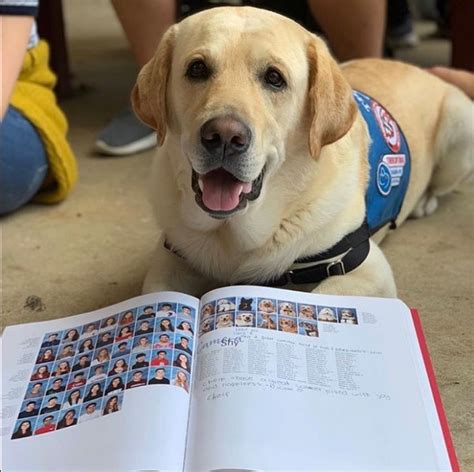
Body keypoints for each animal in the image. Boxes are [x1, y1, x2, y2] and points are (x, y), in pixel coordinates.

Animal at [131, 5, 472, 296]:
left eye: (274, 78)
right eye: (197, 69)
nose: (224, 136)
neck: (233, 239)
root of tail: (424, 70)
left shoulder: (366, 270)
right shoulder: (169, 261)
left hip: (461, 124)